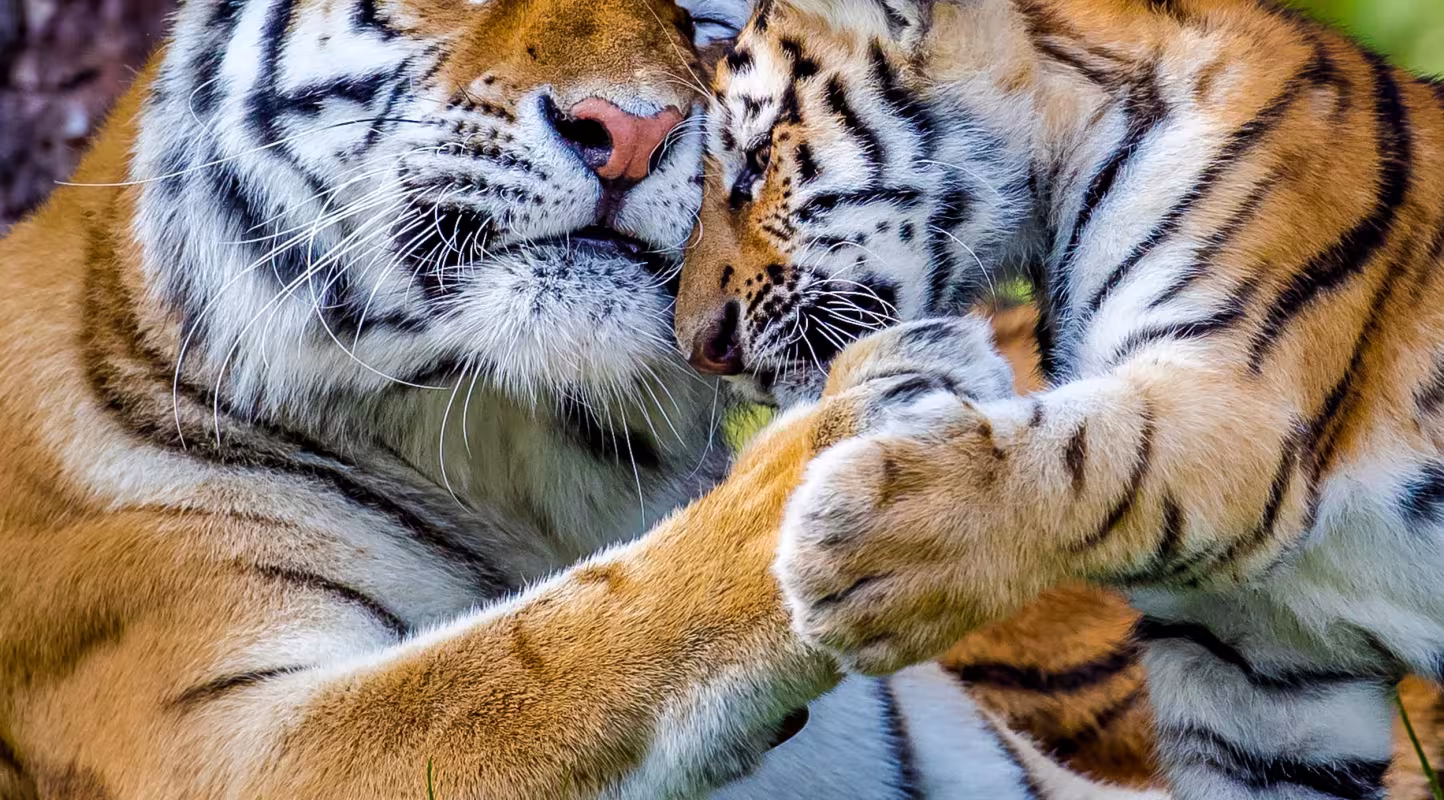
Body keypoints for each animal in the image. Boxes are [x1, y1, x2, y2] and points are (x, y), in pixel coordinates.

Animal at [675, 0, 1444, 798]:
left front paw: (857, 554)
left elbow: (1085, 453)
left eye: (755, 164)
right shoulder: (1257, 673)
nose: (701, 345)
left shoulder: (1242, 404)